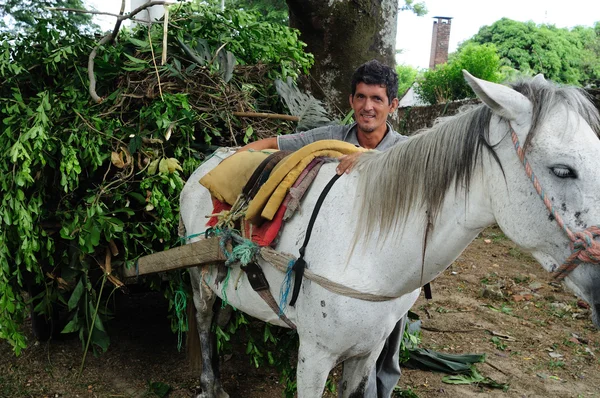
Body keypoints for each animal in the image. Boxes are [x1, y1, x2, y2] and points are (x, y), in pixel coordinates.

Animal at [180, 72, 600, 398]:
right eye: (562, 170)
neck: (366, 251)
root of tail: (212, 158)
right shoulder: (314, 354)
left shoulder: (366, 351)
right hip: (198, 281)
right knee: (203, 323)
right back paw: (210, 384)